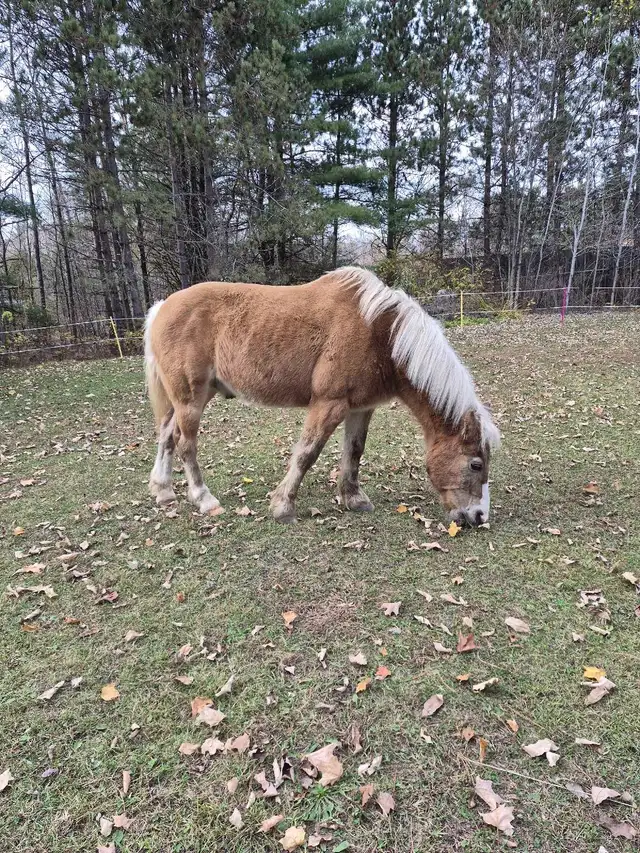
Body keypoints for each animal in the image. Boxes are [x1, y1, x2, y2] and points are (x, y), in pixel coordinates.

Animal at [143, 266, 500, 526]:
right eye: (476, 464)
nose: (479, 516)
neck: (379, 333)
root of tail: (162, 307)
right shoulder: (329, 404)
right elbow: (307, 452)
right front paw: (283, 506)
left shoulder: (360, 408)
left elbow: (354, 451)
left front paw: (353, 498)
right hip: (191, 399)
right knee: (186, 444)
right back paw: (204, 499)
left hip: (189, 398)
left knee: (167, 436)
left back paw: (163, 491)